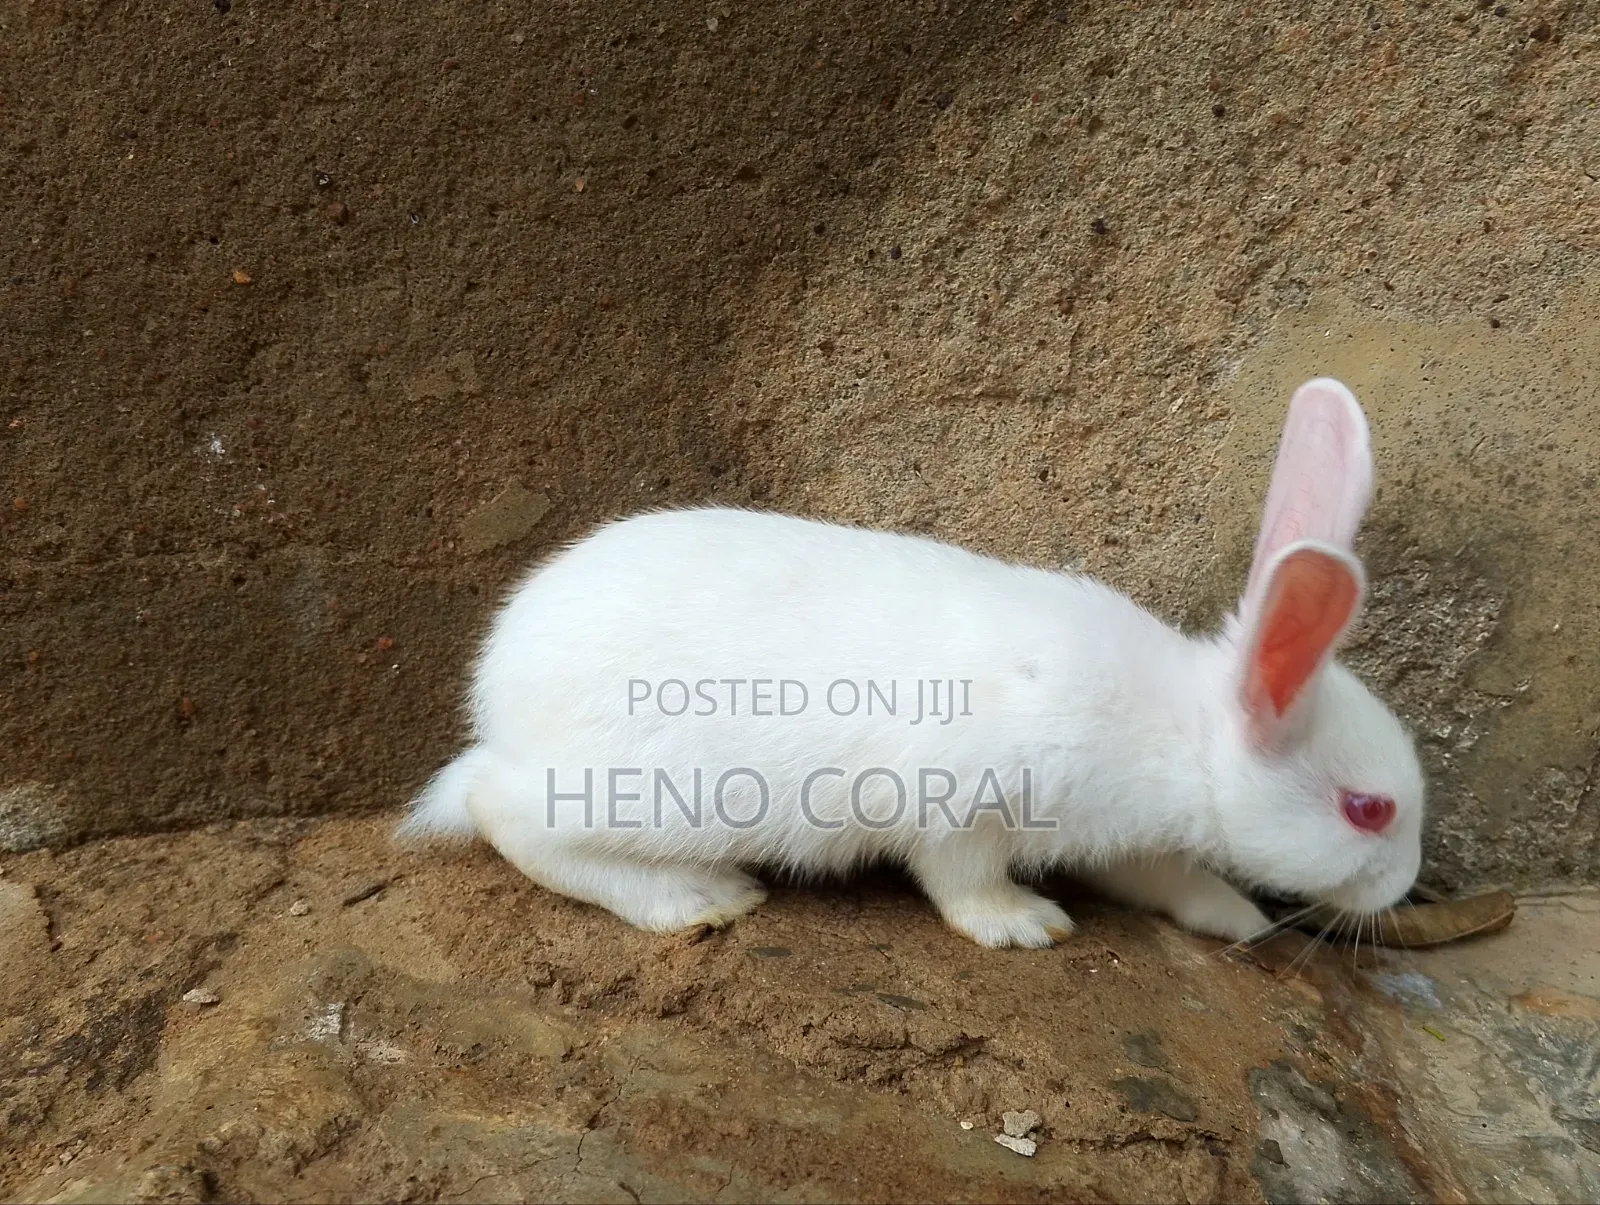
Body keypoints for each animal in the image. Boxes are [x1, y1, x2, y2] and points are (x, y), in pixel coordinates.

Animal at [400, 378, 1424, 948]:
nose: (1405, 888)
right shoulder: (968, 805)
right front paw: (1025, 925)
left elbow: (1171, 880)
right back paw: (699, 899)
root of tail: (496, 699)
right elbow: (962, 879)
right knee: (505, 816)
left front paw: (1241, 920)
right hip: (645, 792)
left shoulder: (1129, 841)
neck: (1178, 731)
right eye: (1367, 809)